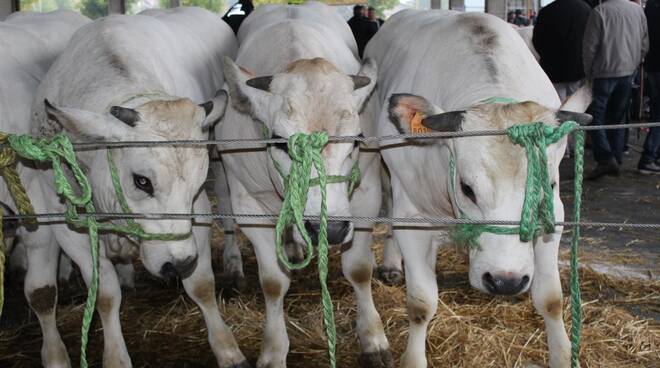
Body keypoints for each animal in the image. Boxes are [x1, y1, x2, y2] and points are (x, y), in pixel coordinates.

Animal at [21, 8, 248, 368]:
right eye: (142, 181)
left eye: (196, 185)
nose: (178, 264)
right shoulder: (64, 219)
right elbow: (105, 293)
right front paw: (115, 355)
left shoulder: (197, 211)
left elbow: (201, 284)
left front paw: (227, 348)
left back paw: (233, 262)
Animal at [217, 1, 392, 366]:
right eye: (280, 142)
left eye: (356, 140)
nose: (329, 228)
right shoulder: (248, 204)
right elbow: (272, 282)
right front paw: (273, 349)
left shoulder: (367, 194)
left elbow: (359, 270)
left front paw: (373, 337)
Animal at [366, 10, 592, 366]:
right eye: (467, 188)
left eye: (547, 185)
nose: (505, 280)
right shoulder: (411, 218)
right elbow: (420, 303)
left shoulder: (554, 215)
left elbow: (551, 299)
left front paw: (563, 355)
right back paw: (390, 264)